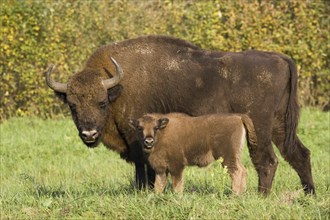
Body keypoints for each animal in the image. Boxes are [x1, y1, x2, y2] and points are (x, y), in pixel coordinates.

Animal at [129, 113, 258, 194]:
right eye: (139, 128)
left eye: (156, 127)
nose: (148, 141)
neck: (163, 133)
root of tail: (238, 117)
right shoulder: (160, 169)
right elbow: (159, 185)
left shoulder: (176, 166)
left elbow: (177, 185)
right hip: (235, 156)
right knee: (243, 170)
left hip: (228, 157)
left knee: (237, 172)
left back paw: (234, 195)